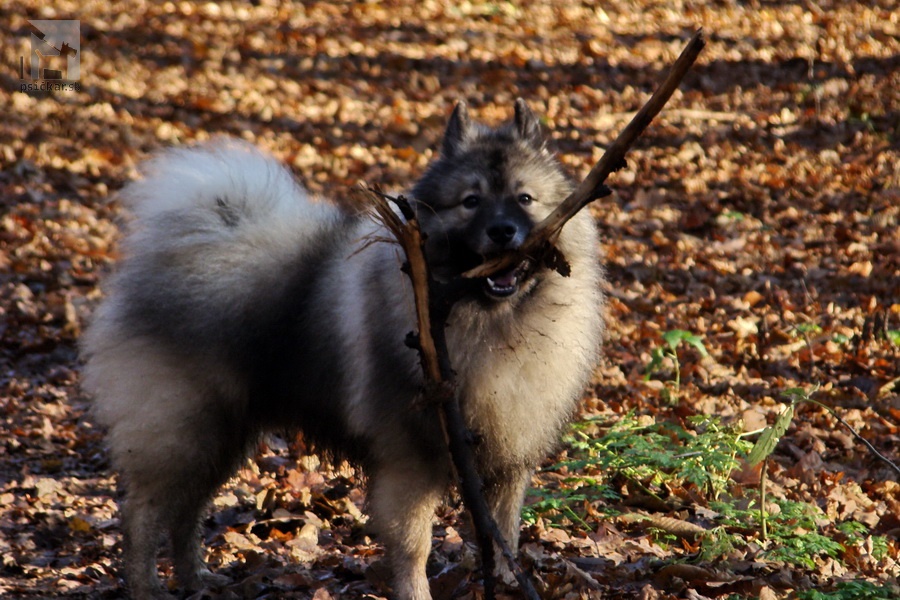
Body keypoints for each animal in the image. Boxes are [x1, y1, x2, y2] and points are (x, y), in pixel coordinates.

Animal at [82, 101, 604, 596]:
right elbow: (414, 545)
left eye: (524, 198)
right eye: (470, 202)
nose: (502, 231)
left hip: (222, 436)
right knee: (142, 515)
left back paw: (195, 579)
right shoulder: (409, 460)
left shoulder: (507, 462)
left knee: (186, 512)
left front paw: (508, 582)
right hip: (185, 431)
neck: (487, 318)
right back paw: (147, 587)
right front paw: (416, 592)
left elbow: (504, 537)